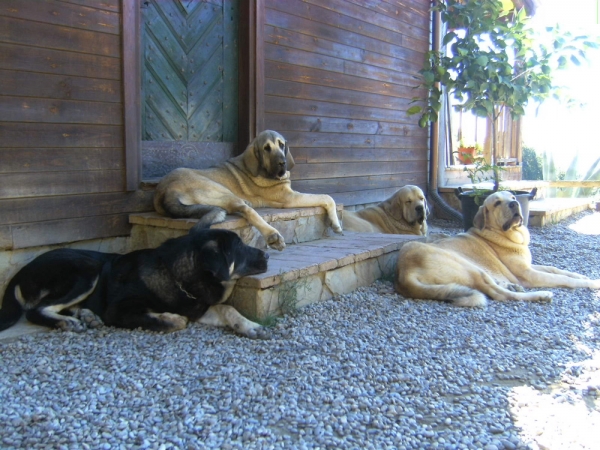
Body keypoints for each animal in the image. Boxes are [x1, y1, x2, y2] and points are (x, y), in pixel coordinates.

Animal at [0, 223, 270, 340]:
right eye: (239, 247)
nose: (267, 255)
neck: (177, 276)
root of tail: (20, 273)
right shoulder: (118, 310)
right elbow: (171, 321)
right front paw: (169, 317)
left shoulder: (197, 306)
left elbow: (227, 308)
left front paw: (249, 326)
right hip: (86, 270)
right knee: (37, 310)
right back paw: (68, 322)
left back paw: (87, 316)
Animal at [152, 130, 344, 251]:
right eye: (266, 148)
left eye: (281, 145)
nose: (282, 163)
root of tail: (164, 191)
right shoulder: (290, 198)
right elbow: (327, 197)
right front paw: (336, 224)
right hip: (219, 189)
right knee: (247, 210)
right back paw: (272, 235)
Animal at [394, 190, 600, 306]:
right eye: (497, 203)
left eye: (513, 196)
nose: (515, 203)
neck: (503, 234)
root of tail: (404, 274)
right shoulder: (529, 274)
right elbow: (563, 278)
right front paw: (591, 282)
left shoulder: (530, 266)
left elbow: (557, 269)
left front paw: (582, 276)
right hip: (470, 266)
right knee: (499, 294)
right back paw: (539, 295)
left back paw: (511, 285)